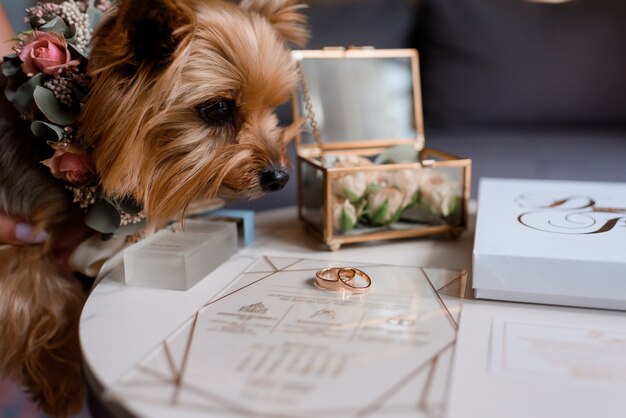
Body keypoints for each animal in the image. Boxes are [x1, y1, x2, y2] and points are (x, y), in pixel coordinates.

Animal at [0, 0, 308, 414]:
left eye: (273, 108)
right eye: (218, 109)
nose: (280, 177)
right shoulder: (19, 235)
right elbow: (40, 287)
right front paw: (62, 385)